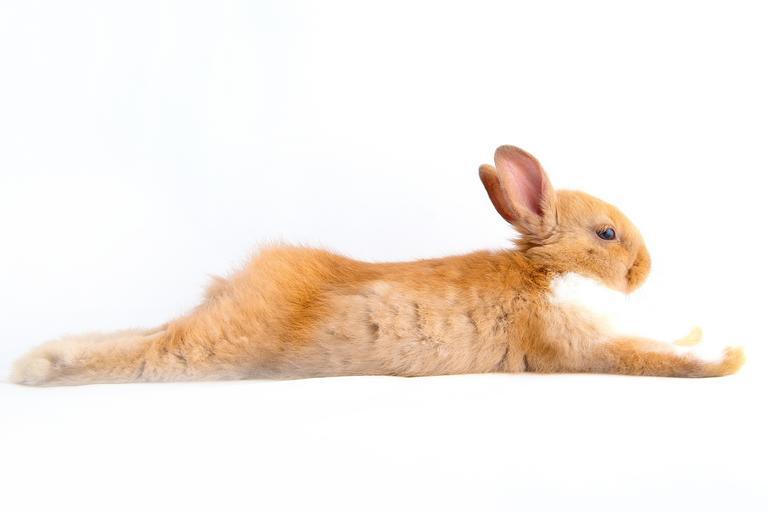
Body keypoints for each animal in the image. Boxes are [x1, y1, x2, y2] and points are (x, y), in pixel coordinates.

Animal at [10, 144, 744, 384]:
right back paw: (39, 368)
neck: (546, 272)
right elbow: (649, 357)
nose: (645, 270)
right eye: (607, 233)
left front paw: (704, 333)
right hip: (215, 349)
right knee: (147, 351)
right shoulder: (576, 346)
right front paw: (728, 359)